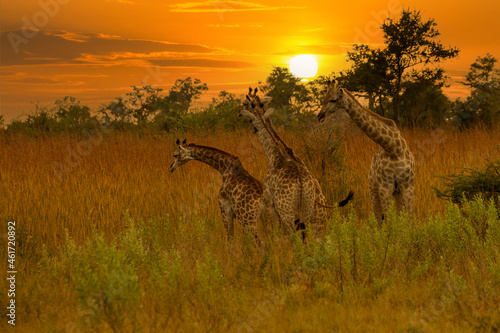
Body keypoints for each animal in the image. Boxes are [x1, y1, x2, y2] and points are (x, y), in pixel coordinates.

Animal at [241, 89, 352, 237]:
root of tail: (301, 185)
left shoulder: (269, 203)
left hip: (288, 214)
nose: (253, 128)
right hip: (312, 218)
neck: (274, 153)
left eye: (244, 104)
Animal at [318, 80, 416, 224]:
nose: (319, 116)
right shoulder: (385, 188)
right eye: (323, 99)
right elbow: (388, 222)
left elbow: (410, 221)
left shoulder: (408, 187)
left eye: (333, 100)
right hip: (373, 192)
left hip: (396, 193)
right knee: (379, 220)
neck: (394, 148)